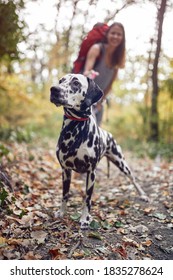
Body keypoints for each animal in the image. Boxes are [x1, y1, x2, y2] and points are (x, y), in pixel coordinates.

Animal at [50, 74, 149, 230]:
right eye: (61, 81)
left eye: (76, 83)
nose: (54, 89)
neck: (74, 130)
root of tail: (108, 133)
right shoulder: (65, 171)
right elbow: (65, 194)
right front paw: (61, 212)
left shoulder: (91, 173)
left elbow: (87, 199)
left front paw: (85, 219)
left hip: (121, 162)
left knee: (133, 179)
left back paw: (143, 194)